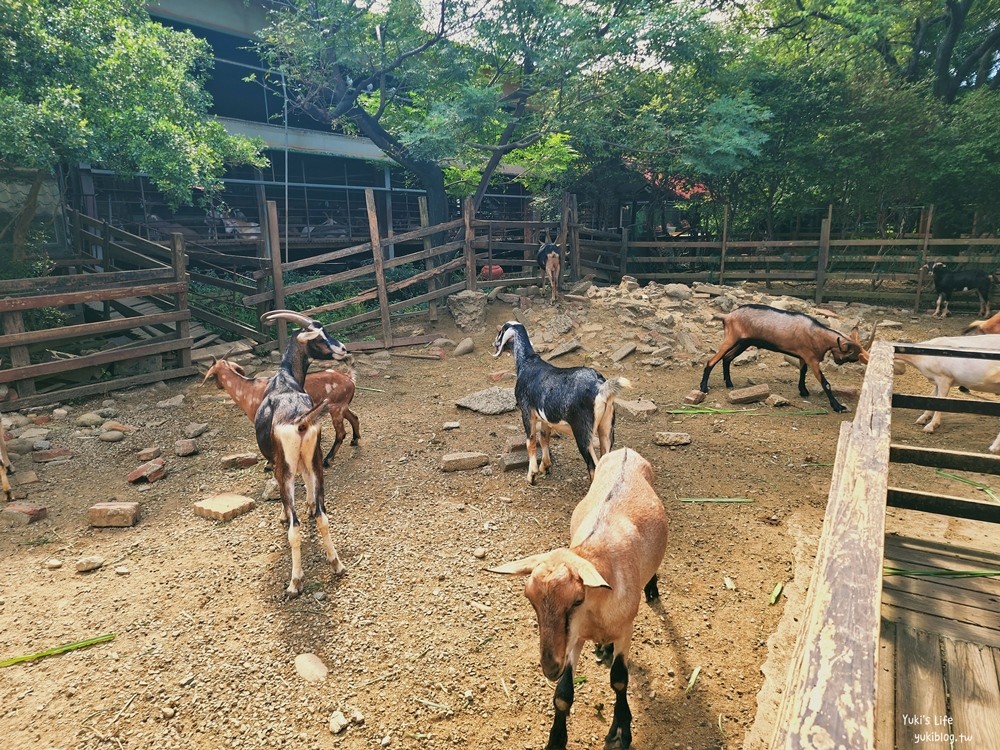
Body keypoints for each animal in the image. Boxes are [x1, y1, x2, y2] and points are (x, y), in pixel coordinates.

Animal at [202, 356, 360, 468]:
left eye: (213, 374)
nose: (218, 386)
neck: (248, 390)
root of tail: (349, 377)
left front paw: (270, 465)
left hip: (336, 408)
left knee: (341, 433)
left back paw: (327, 460)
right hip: (342, 406)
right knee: (355, 417)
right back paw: (355, 440)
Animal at [256, 308, 350, 596]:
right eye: (319, 336)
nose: (344, 349)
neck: (285, 379)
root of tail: (300, 421)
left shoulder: (278, 464)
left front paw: (284, 514)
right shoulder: (309, 462)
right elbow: (310, 489)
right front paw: (309, 504)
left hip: (285, 470)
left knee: (294, 529)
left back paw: (295, 582)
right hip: (317, 460)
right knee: (323, 517)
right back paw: (336, 564)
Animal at [488, 446, 668, 750]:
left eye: (575, 601)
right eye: (531, 601)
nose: (549, 667)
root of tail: (625, 451)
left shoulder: (626, 629)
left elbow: (619, 680)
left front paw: (621, 730)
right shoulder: (574, 638)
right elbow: (563, 693)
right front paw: (556, 740)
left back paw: (651, 590)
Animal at [490, 324, 624, 488]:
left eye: (500, 332)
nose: (494, 344)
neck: (527, 363)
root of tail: (600, 387)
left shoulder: (527, 411)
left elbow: (531, 441)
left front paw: (532, 475)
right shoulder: (545, 418)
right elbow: (544, 438)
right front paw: (545, 466)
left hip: (583, 432)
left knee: (593, 465)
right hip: (606, 428)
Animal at [696, 302, 876, 414]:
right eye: (851, 357)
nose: (838, 361)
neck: (817, 334)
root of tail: (728, 316)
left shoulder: (804, 356)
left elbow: (802, 372)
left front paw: (803, 391)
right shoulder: (812, 358)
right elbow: (826, 383)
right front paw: (838, 406)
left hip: (744, 342)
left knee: (727, 358)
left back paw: (729, 383)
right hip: (732, 338)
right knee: (712, 360)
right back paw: (704, 387)